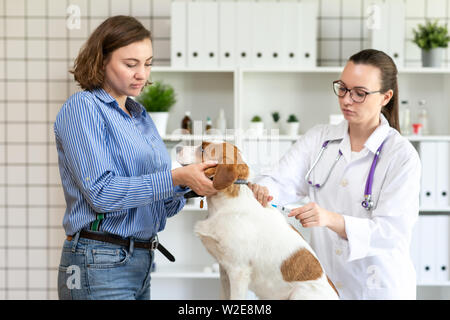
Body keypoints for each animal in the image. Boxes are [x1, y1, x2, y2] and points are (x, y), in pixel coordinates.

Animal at [176, 142, 338, 300]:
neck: (224, 205)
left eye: (203, 149)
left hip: (299, 293)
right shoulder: (224, 270)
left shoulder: (238, 271)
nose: (177, 147)